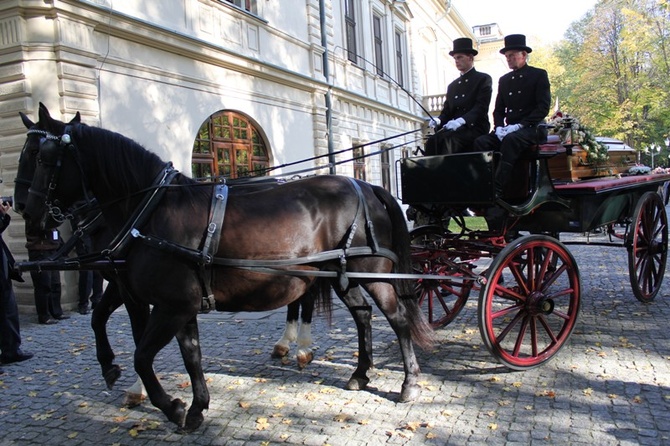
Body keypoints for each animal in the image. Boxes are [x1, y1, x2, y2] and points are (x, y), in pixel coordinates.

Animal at [19, 114, 436, 432]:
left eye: (42, 158)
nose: (28, 213)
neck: (152, 212)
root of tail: (366, 183)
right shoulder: (175, 304)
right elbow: (189, 355)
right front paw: (195, 407)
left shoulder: (166, 306)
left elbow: (141, 354)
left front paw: (169, 405)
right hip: (340, 275)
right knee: (362, 316)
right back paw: (359, 373)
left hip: (373, 274)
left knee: (398, 318)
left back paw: (408, 383)